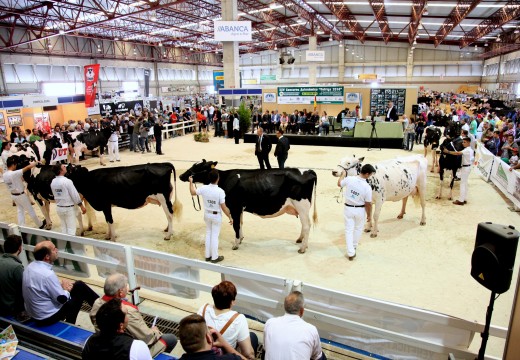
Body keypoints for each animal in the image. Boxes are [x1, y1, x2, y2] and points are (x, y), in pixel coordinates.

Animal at [180, 160, 316, 253]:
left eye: (198, 167)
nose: (181, 176)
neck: (224, 179)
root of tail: (308, 171)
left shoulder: (234, 207)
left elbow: (235, 224)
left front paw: (235, 244)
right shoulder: (239, 208)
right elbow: (240, 223)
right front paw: (241, 239)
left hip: (302, 206)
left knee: (307, 225)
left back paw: (302, 248)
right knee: (304, 225)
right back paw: (300, 240)